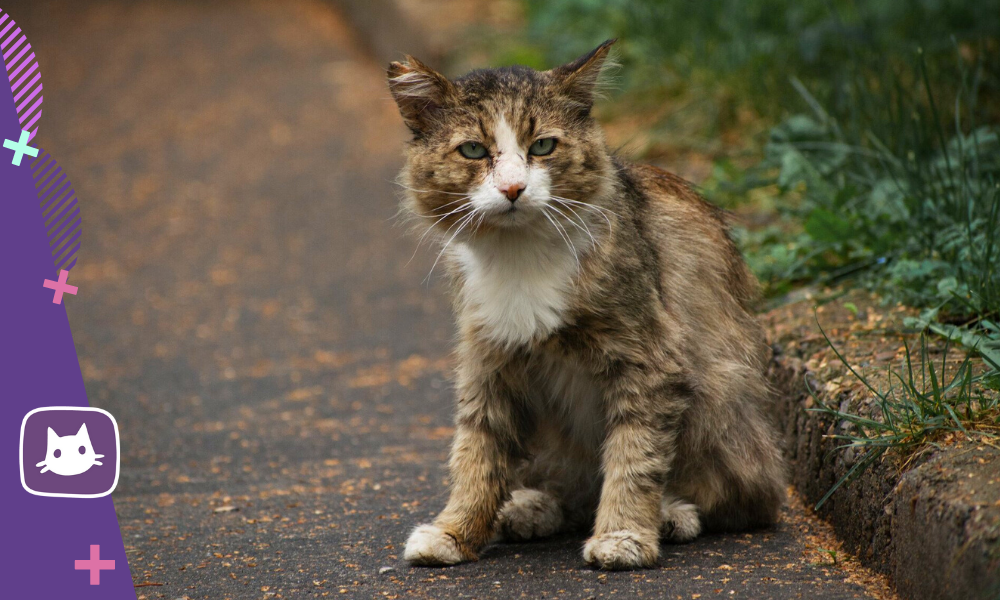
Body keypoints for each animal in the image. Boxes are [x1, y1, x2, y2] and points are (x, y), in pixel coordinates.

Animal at [386, 39, 784, 568]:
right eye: (473, 150)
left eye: (542, 147)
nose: (513, 189)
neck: (520, 256)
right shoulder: (488, 361)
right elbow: (476, 453)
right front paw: (455, 531)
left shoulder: (650, 359)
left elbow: (634, 457)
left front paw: (624, 535)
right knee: (569, 491)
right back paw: (531, 508)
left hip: (718, 394)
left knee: (742, 496)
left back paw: (671, 514)